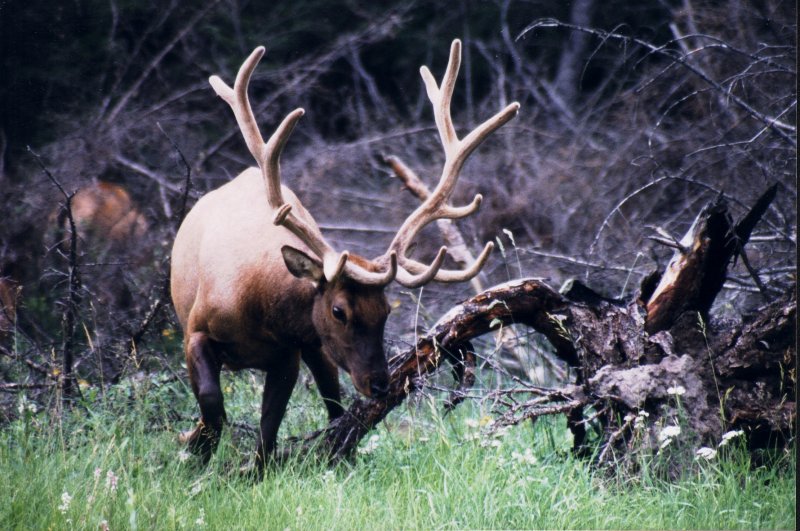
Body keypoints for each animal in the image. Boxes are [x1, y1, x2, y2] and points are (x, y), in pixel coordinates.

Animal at [170, 40, 520, 466]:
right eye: (340, 310)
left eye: (385, 311)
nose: (380, 384)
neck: (253, 304)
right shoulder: (195, 330)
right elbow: (211, 404)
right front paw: (195, 450)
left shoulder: (288, 352)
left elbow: (270, 428)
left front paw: (253, 469)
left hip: (317, 346)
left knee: (333, 401)